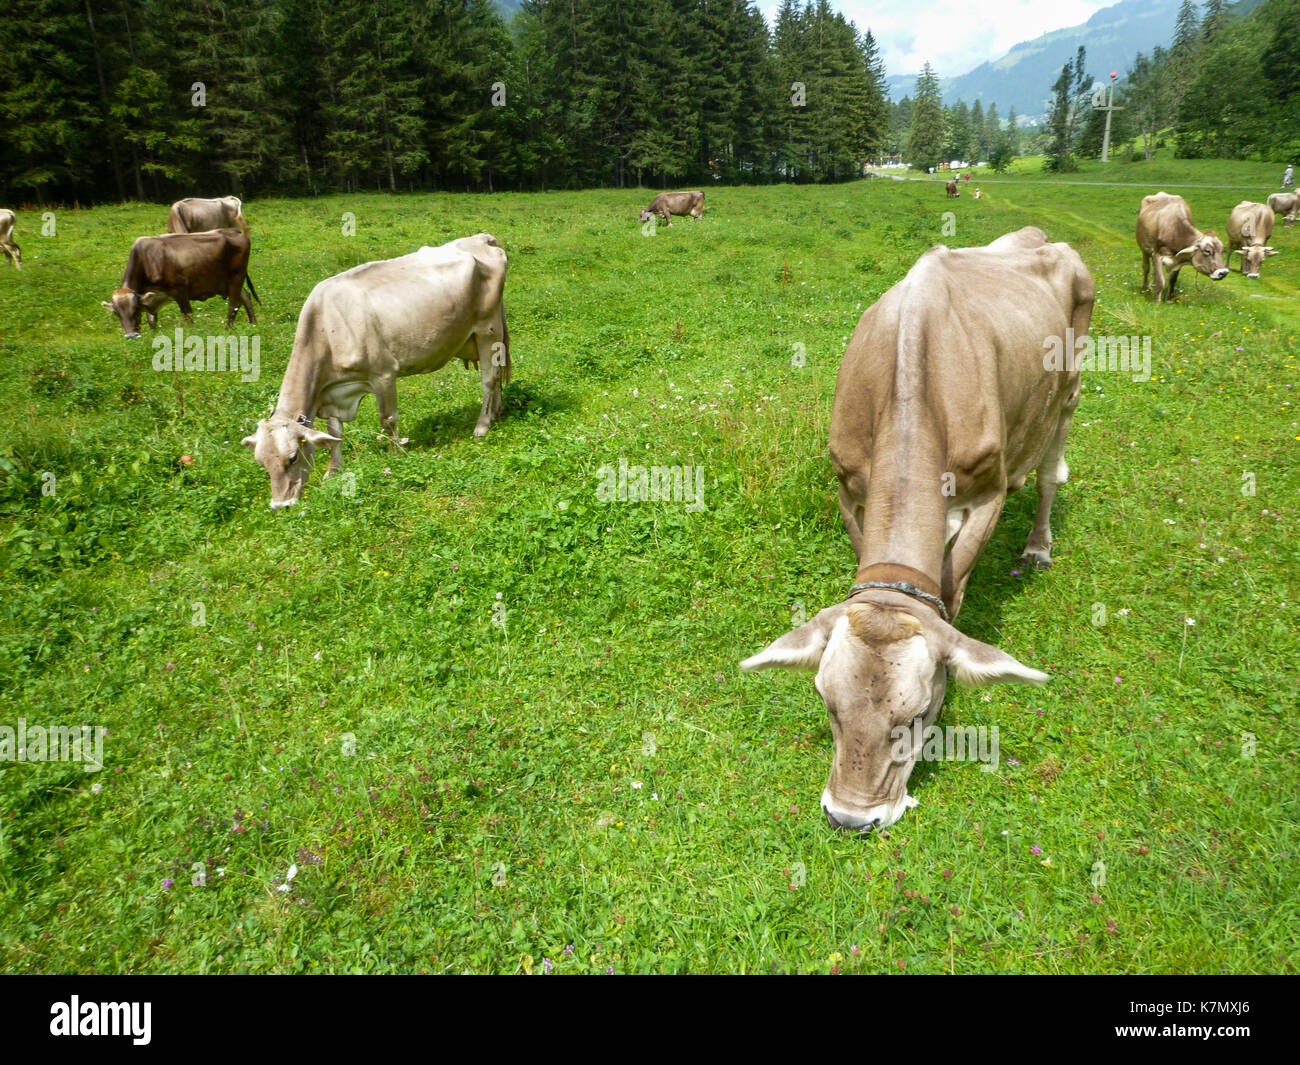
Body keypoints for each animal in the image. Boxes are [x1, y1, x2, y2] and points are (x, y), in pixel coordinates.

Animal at [101, 228, 256, 338]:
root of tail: (235, 231)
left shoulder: (180, 290)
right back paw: (253, 324)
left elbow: (187, 316)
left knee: (233, 305)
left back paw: (228, 329)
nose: (131, 336)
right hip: (229, 282)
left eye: (136, 309)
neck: (147, 261)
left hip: (236, 277)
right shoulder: (150, 298)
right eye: (116, 313)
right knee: (246, 297)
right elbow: (152, 321)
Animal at [242, 233, 509, 509]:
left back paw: (482, 426)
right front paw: (333, 471)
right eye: (261, 462)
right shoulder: (332, 394)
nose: (280, 505)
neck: (327, 328)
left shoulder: (383, 374)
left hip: (487, 331)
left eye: (293, 457)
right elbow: (335, 432)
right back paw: (496, 412)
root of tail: (482, 238)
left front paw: (395, 453)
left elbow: (388, 419)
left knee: (489, 379)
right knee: (499, 373)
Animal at [740, 227, 1094, 834]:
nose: (849, 818)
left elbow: (954, 588)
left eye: (918, 715)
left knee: (1051, 473)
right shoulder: (848, 487)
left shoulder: (989, 492)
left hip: (1069, 392)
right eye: (828, 705)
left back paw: (1037, 545)